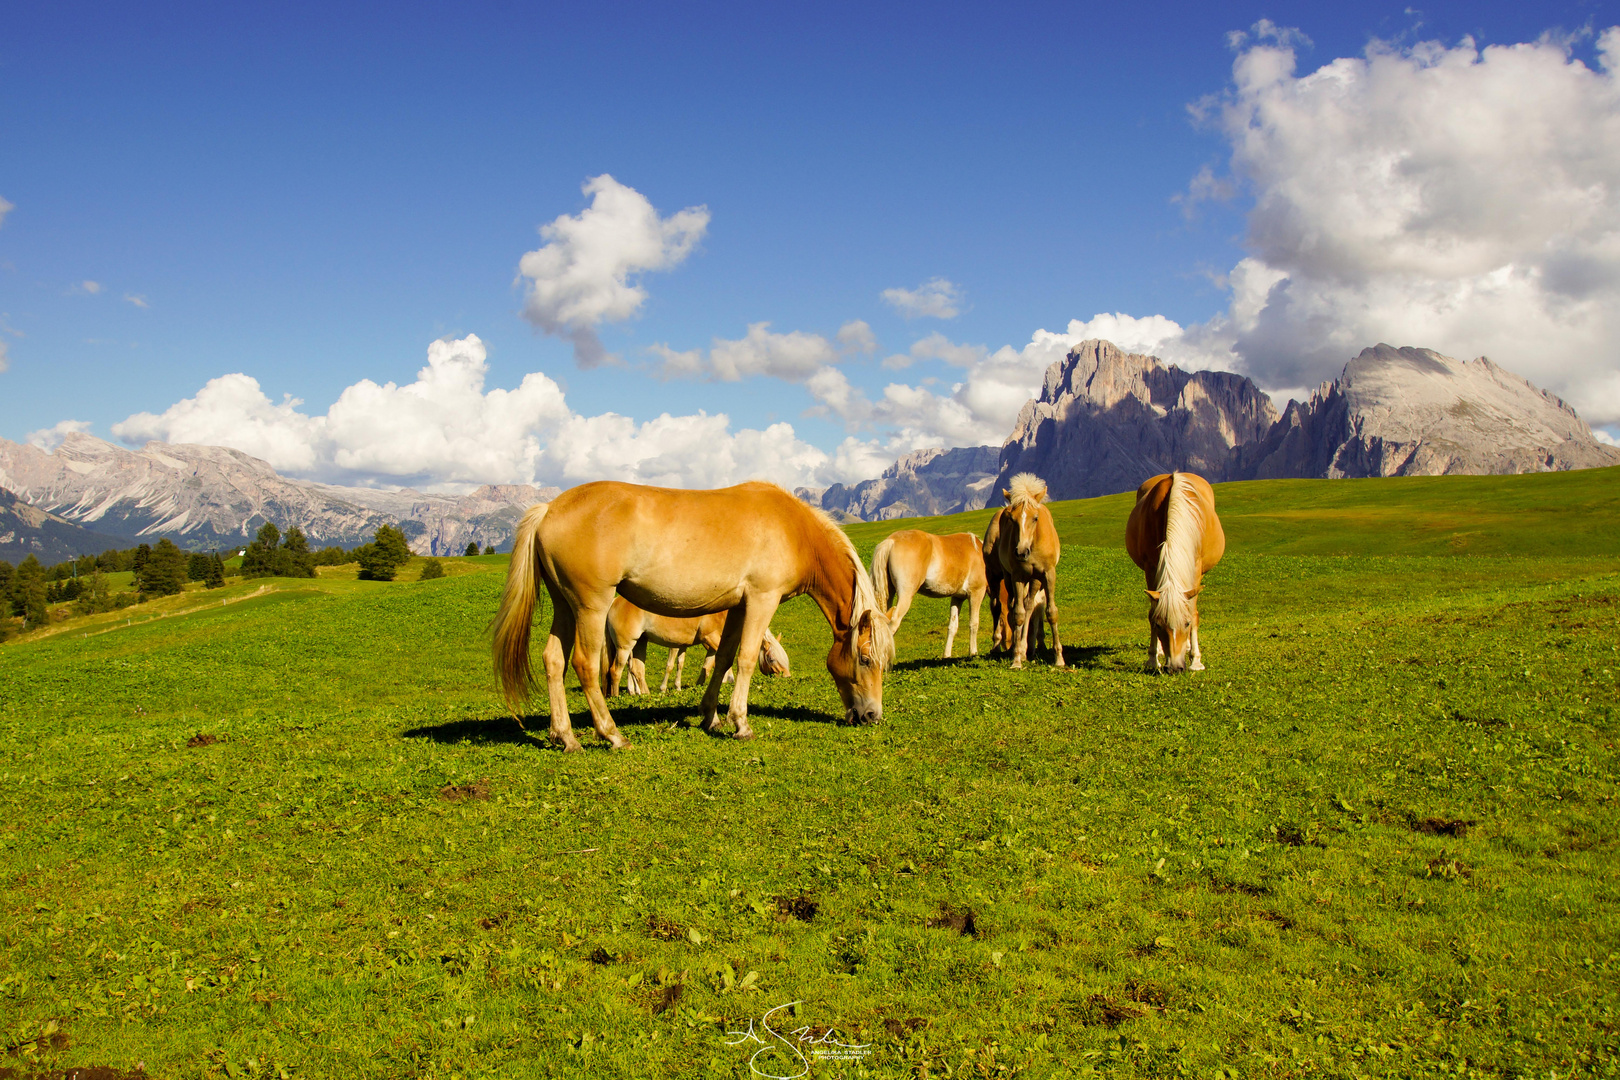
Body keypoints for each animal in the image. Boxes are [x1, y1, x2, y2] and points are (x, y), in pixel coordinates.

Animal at [602, 595, 790, 696]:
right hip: (625, 647)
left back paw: (645, 695)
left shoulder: (711, 643)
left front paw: (698, 686)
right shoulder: (710, 638)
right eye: (772, 658)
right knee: (616, 670)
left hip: (640, 643)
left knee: (637, 669)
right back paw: (618, 696)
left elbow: (706, 666)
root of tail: (614, 602)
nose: (786, 676)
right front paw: (728, 679)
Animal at [874, 524, 984, 654]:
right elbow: (974, 624)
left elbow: (952, 627)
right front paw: (973, 652)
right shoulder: (976, 593)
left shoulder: (957, 597)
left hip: (888, 594)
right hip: (905, 595)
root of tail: (892, 541)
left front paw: (946, 655)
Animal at [984, 472, 1062, 667]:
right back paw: (1001, 646)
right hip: (997, 576)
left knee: (1027, 605)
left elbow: (1050, 612)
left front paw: (1059, 658)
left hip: (1033, 580)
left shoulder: (1048, 574)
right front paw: (1017, 658)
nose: (1021, 551)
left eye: (1035, 518)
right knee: (999, 606)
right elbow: (1017, 614)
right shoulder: (1017, 576)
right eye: (1012, 519)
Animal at [1127, 472, 1224, 676]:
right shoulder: (1150, 567)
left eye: (1186, 624)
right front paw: (1152, 659)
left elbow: (1193, 612)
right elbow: (1152, 611)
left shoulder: (1196, 568)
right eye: (1159, 625)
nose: (1175, 667)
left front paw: (1196, 660)